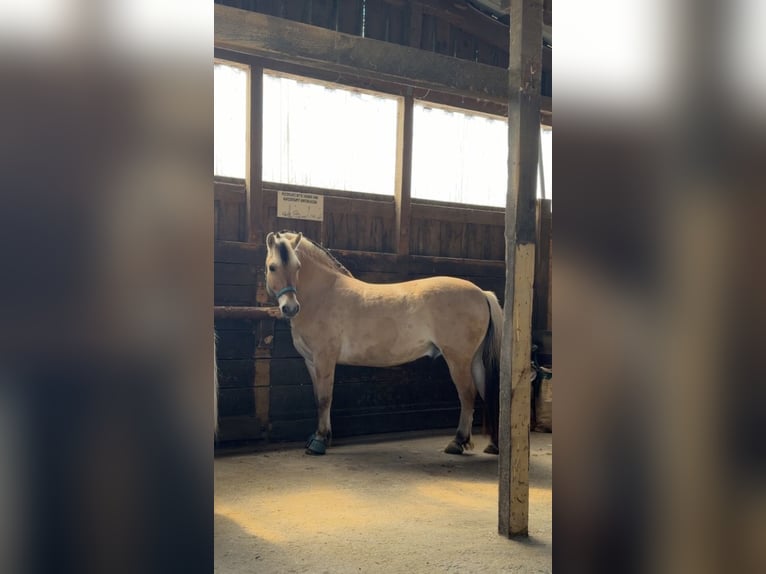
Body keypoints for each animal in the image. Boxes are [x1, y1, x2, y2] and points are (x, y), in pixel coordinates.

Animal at [264, 230, 503, 456]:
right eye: (272, 267)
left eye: (297, 267)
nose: (290, 308)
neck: (323, 294)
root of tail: (482, 293)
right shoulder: (311, 361)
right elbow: (317, 398)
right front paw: (319, 436)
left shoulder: (325, 359)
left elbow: (325, 398)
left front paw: (320, 441)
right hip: (474, 360)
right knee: (486, 391)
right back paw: (493, 444)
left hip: (458, 359)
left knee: (468, 395)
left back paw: (458, 442)